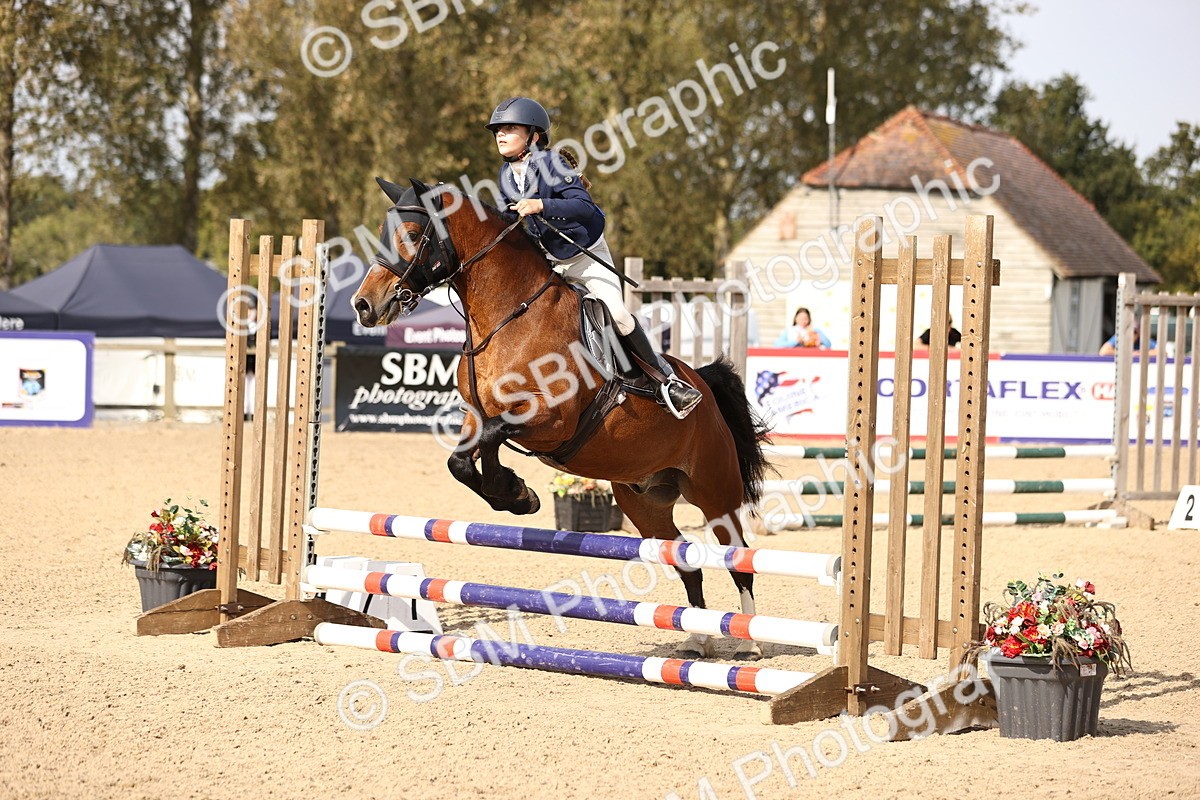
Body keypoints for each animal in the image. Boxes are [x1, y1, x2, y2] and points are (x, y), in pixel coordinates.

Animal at [352, 178, 772, 659]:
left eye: (411, 234)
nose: (363, 305)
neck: (508, 316)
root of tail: (702, 384)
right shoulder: (476, 415)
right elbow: (462, 460)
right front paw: (516, 494)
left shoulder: (554, 422)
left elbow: (495, 437)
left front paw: (514, 492)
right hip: (644, 500)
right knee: (684, 560)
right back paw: (698, 639)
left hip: (713, 489)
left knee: (738, 556)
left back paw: (749, 644)